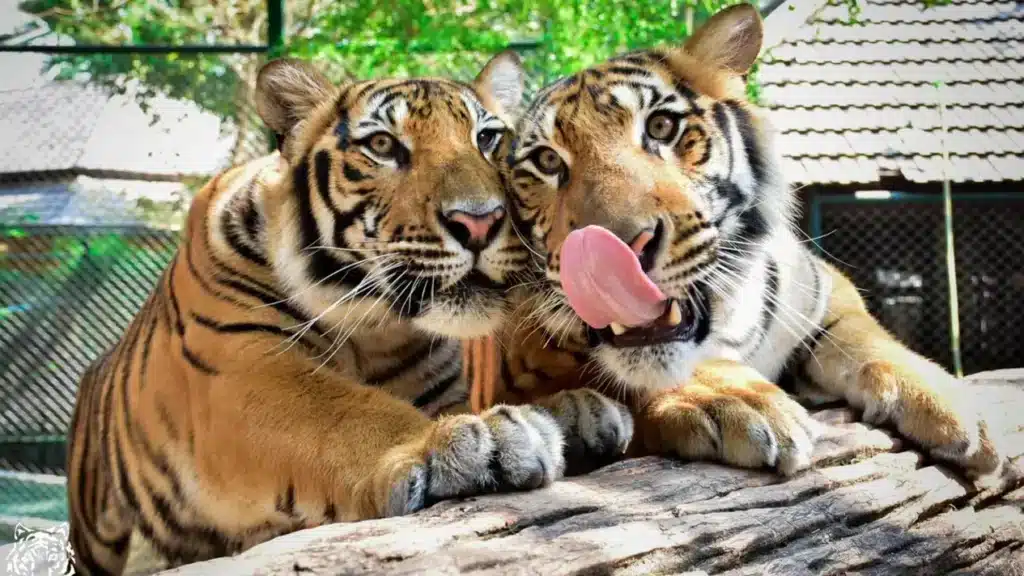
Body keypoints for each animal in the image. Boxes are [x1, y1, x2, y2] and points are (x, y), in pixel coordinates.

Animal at [66, 51, 630, 569]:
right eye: (382, 146)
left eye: (488, 139)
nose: (480, 221)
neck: (375, 330)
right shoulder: (237, 373)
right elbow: (346, 412)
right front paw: (473, 439)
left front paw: (576, 410)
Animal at [475, 2, 1003, 479]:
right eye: (547, 161)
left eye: (661, 127)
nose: (615, 254)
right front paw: (738, 399)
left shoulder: (825, 292)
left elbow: (868, 339)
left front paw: (955, 407)